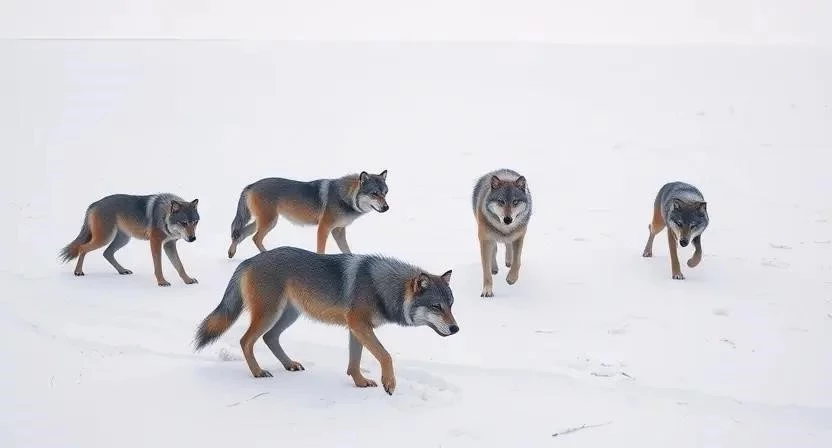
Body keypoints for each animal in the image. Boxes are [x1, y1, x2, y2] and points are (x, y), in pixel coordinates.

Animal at [59, 193, 200, 287]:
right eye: (184, 223)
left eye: (194, 222)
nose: (193, 238)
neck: (164, 215)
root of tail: (94, 204)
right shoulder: (155, 242)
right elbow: (158, 265)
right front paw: (162, 282)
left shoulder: (169, 244)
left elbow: (179, 265)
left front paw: (188, 280)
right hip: (104, 239)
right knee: (82, 248)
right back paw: (78, 272)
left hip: (123, 240)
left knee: (107, 253)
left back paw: (122, 270)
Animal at [194, 246, 458, 395]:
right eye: (437, 307)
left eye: (451, 305)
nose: (456, 328)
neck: (381, 287)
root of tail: (249, 260)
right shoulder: (359, 325)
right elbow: (386, 355)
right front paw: (389, 384)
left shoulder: (357, 328)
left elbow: (354, 363)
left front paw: (360, 383)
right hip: (270, 315)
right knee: (245, 340)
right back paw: (258, 372)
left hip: (288, 316)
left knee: (269, 338)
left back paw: (289, 365)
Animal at [227, 171, 390, 258]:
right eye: (374, 194)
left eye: (385, 193)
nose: (387, 207)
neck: (344, 197)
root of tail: (251, 185)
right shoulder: (323, 228)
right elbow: (321, 251)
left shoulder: (338, 231)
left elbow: (347, 251)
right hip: (269, 222)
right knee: (254, 238)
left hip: (265, 222)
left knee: (240, 234)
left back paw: (231, 253)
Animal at [472, 169, 532, 297]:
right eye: (501, 201)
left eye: (515, 202)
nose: (507, 219)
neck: (504, 229)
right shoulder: (485, 239)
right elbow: (486, 269)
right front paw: (487, 290)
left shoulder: (520, 236)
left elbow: (517, 261)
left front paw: (511, 278)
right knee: (494, 249)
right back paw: (494, 268)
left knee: (508, 245)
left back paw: (508, 261)